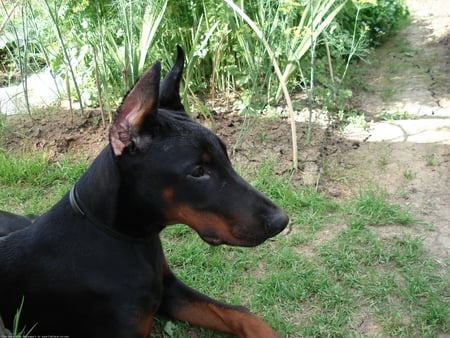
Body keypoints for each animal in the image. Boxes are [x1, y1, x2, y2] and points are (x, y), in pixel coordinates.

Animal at [0, 47, 288, 338]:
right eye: (198, 172)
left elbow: (241, 313)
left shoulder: (170, 290)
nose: (281, 221)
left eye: (225, 156)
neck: (126, 239)